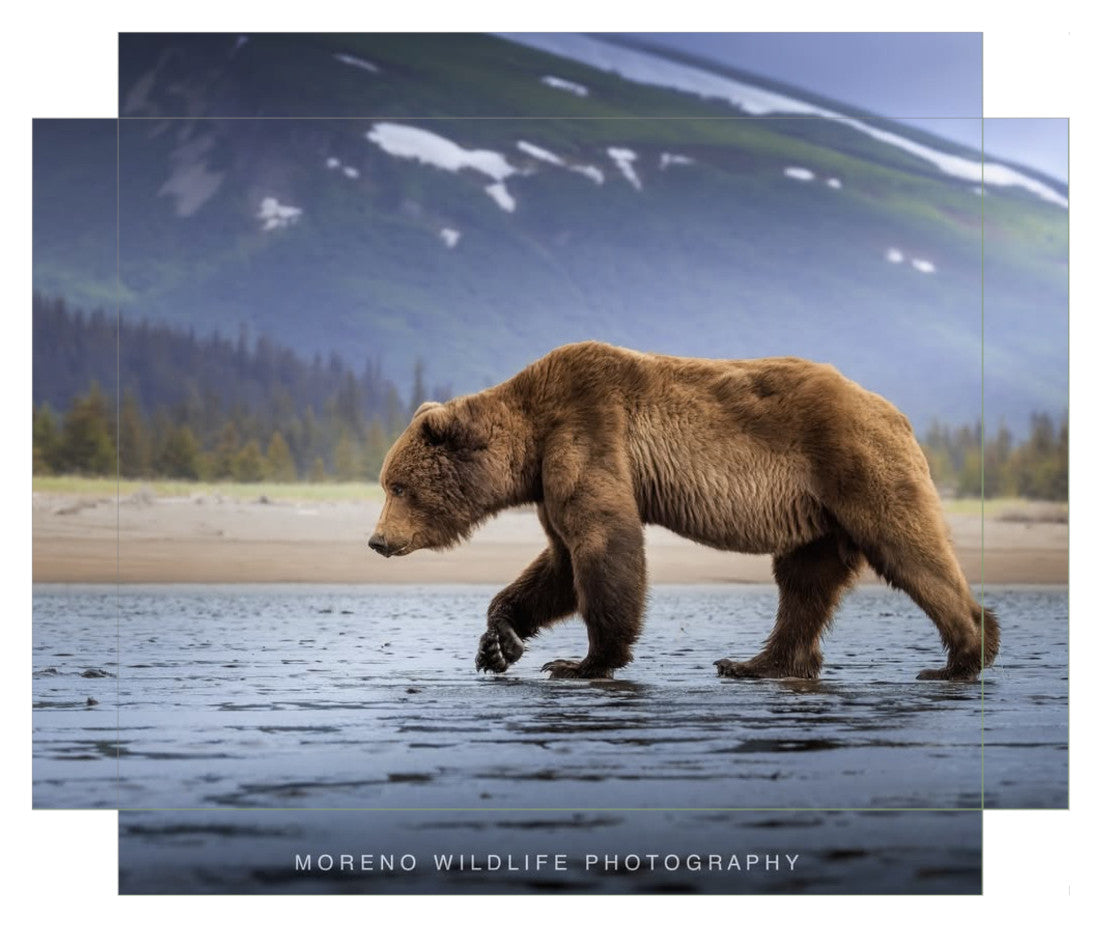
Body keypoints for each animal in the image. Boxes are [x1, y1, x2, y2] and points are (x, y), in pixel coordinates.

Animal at [368, 341, 999, 682]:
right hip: (818, 513)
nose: (376, 541)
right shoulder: (550, 477)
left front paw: (583, 661)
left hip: (855, 466)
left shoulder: (587, 430)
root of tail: (895, 412)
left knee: (907, 548)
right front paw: (499, 643)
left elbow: (602, 544)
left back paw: (963, 653)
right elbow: (559, 562)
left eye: (397, 486)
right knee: (804, 582)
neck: (530, 437)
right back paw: (755, 663)